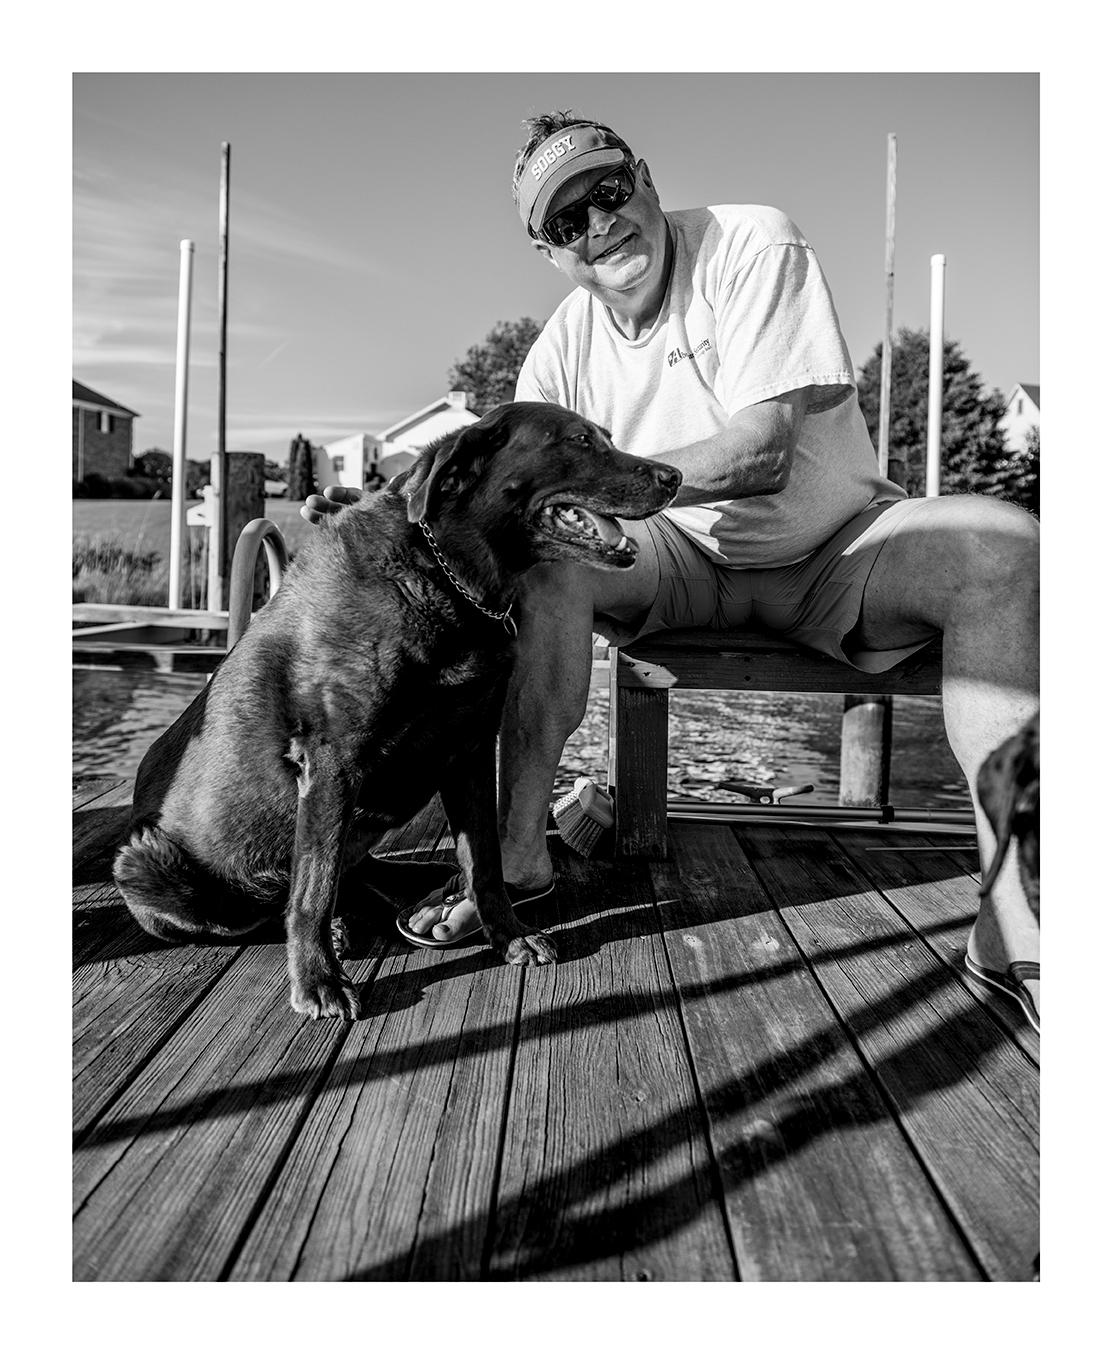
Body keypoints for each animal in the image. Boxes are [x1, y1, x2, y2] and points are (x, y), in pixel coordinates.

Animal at [117, 400, 679, 1018]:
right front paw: (318, 979)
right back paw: (333, 930)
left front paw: (507, 936)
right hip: (146, 861)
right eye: (579, 440)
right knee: (280, 904)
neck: (448, 578)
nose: (675, 477)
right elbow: (312, 887)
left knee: (355, 870)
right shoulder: (332, 762)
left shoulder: (471, 749)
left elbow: (484, 862)